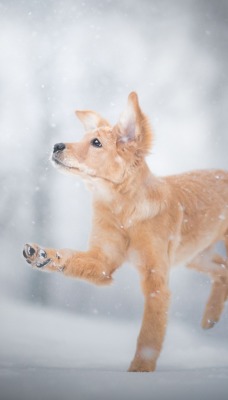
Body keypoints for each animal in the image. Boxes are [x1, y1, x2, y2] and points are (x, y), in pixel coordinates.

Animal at [23, 91, 228, 372]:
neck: (122, 209)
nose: (56, 146)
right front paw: (42, 255)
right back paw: (210, 316)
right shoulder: (103, 261)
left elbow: (150, 334)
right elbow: (70, 257)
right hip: (195, 255)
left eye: (96, 143)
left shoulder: (156, 279)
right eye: (83, 138)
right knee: (223, 269)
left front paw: (139, 371)